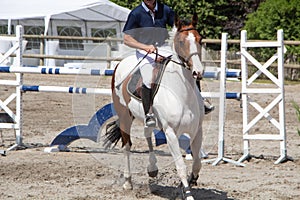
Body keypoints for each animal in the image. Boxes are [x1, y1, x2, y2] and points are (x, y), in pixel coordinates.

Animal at [104, 13, 205, 199]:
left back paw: (152, 168)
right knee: (127, 146)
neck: (182, 93)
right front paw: (187, 193)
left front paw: (190, 182)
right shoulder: (170, 133)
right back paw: (128, 182)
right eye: (181, 42)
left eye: (200, 39)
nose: (198, 72)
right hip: (125, 117)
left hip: (146, 117)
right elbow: (181, 166)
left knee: (147, 133)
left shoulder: (197, 130)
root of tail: (120, 64)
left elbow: (197, 162)